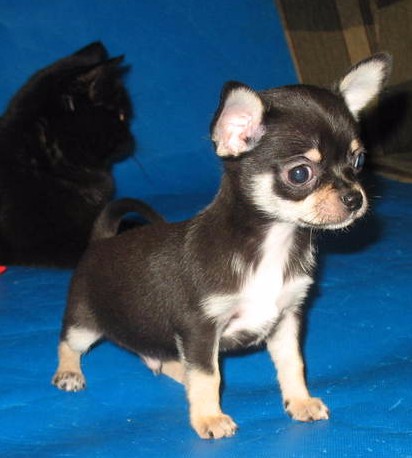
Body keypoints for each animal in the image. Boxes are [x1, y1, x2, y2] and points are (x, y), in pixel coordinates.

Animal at [52, 54, 392, 439]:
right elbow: (208, 376)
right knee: (67, 342)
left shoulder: (286, 321)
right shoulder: (200, 330)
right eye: (300, 173)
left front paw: (300, 401)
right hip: (85, 323)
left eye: (358, 162)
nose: (355, 198)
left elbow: (293, 364)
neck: (272, 244)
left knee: (154, 355)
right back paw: (69, 372)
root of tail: (104, 238)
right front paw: (209, 418)